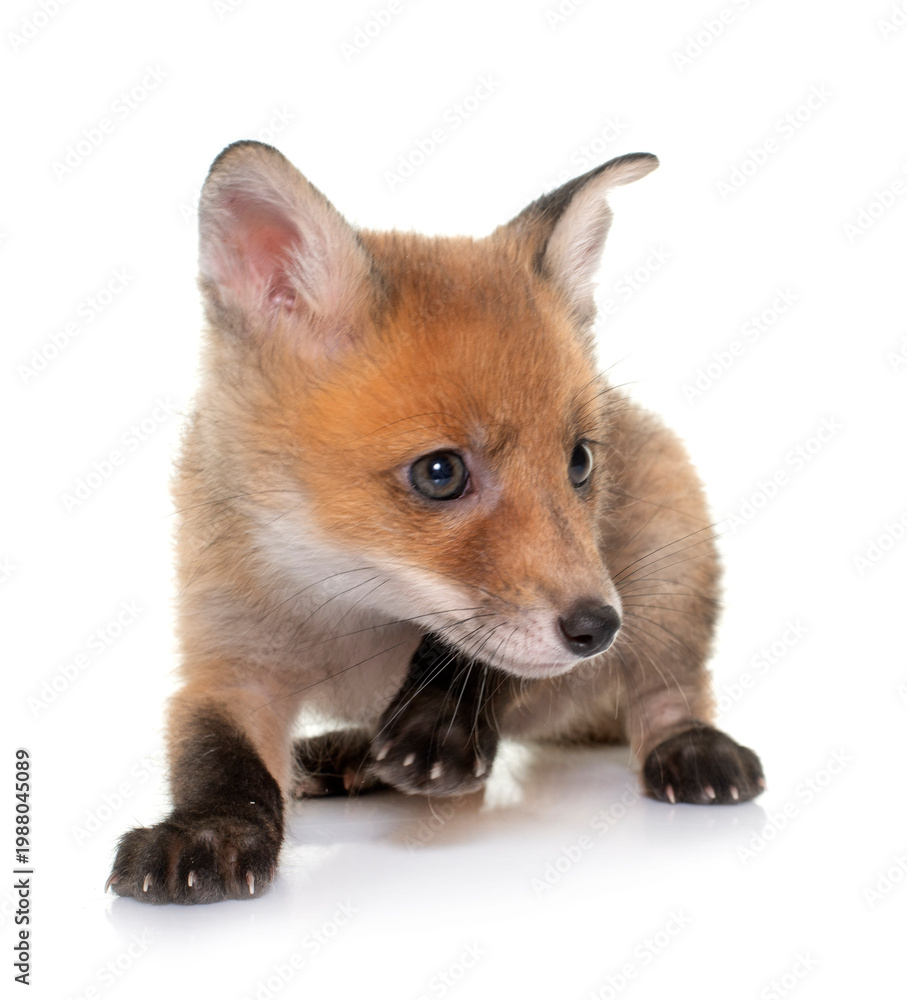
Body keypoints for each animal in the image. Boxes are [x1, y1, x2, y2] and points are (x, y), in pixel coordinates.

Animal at [107, 141, 764, 904]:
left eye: (579, 461)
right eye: (440, 473)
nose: (597, 628)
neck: (346, 611)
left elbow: (479, 652)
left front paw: (439, 724)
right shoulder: (228, 655)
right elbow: (217, 756)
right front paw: (207, 832)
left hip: (670, 545)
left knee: (670, 685)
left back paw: (690, 748)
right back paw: (346, 756)